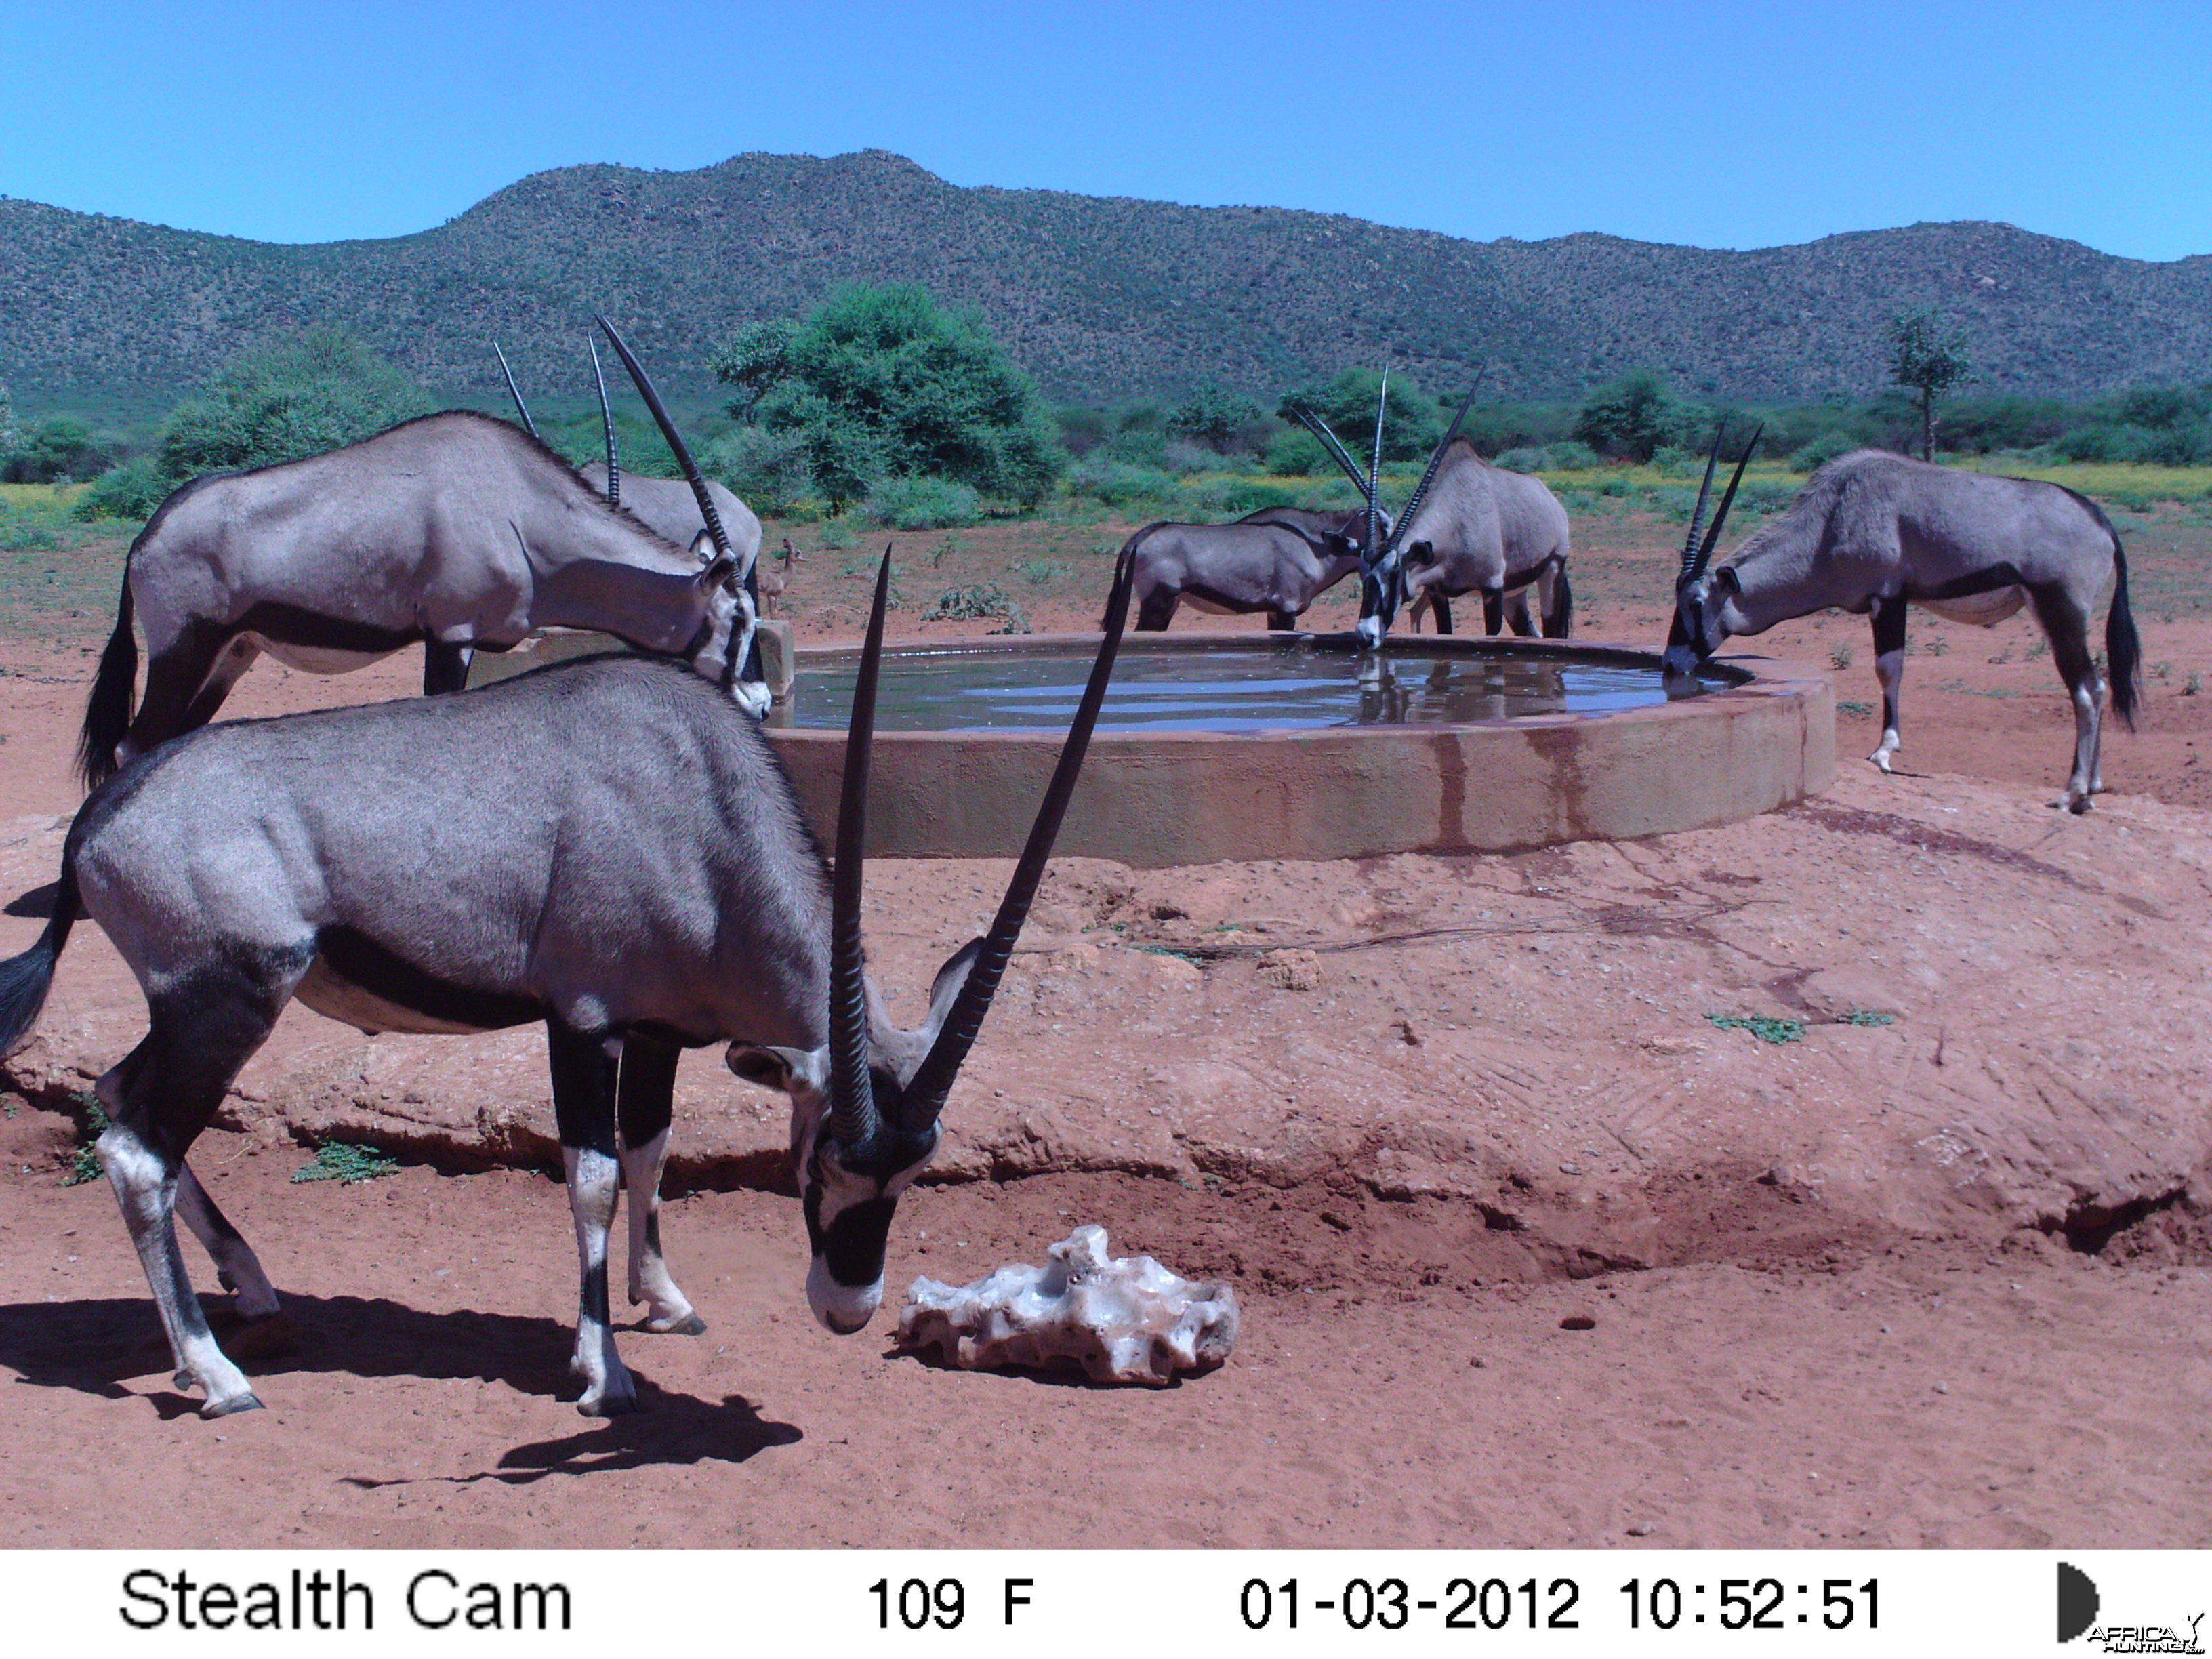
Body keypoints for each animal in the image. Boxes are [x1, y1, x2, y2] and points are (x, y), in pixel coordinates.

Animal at [0, 553, 1141, 1425]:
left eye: (915, 1173)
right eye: (822, 1159)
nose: (849, 1308)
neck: (694, 802)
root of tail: (99, 817)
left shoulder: (662, 1030)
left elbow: (650, 1150)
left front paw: (665, 1301)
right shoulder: (581, 1022)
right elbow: (591, 1176)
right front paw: (605, 1373)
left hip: (190, 1010)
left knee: (117, 1096)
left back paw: (251, 1289)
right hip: (229, 1004)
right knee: (139, 1148)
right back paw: (217, 1373)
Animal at [75, 327, 769, 796]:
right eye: (737, 620)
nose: (762, 703)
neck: (521, 511)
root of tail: (148, 536)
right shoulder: (450, 635)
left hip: (229, 656)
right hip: (181, 651)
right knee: (134, 744)